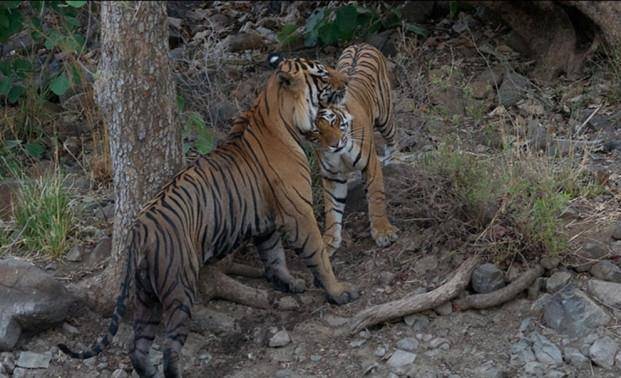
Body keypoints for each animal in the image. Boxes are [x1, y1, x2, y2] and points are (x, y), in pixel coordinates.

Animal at [59, 56, 358, 378]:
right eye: (323, 74)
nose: (347, 81)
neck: (275, 112)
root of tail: (140, 229)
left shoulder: (265, 222)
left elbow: (274, 255)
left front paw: (290, 283)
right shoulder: (298, 211)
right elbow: (318, 254)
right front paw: (338, 292)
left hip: (145, 295)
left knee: (137, 346)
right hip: (179, 287)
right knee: (169, 347)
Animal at [312, 44, 400, 256]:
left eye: (333, 122)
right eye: (316, 131)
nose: (334, 144)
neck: (340, 154)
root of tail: (360, 44)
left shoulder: (370, 164)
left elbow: (376, 197)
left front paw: (383, 232)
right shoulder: (333, 176)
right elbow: (332, 209)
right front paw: (329, 241)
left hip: (385, 116)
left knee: (393, 138)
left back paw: (394, 160)